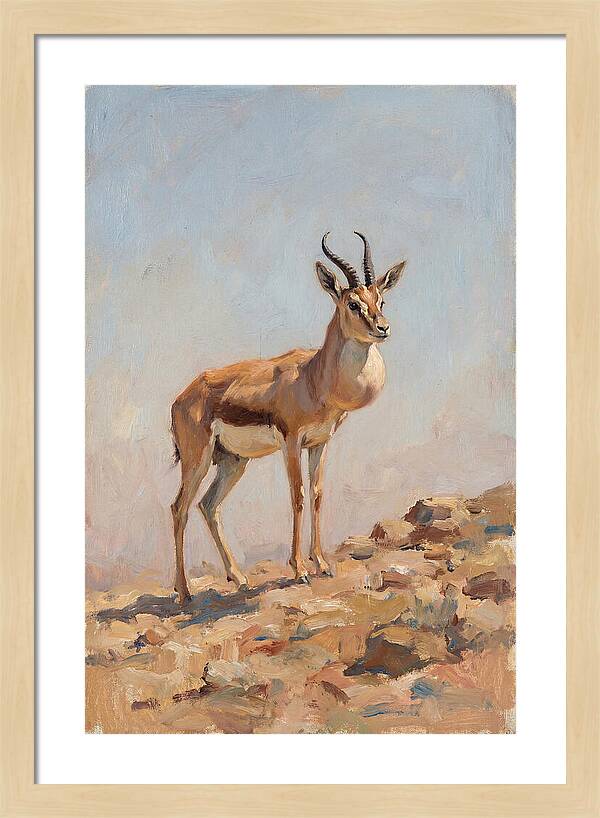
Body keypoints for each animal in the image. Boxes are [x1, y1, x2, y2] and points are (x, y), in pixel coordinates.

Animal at [170, 232, 406, 604]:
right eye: (353, 304)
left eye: (381, 299)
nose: (383, 328)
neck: (314, 378)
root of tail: (182, 398)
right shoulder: (292, 442)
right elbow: (297, 496)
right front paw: (299, 570)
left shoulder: (320, 443)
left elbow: (318, 495)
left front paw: (322, 563)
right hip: (198, 459)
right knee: (179, 508)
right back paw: (184, 593)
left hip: (233, 461)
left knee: (208, 506)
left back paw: (239, 578)